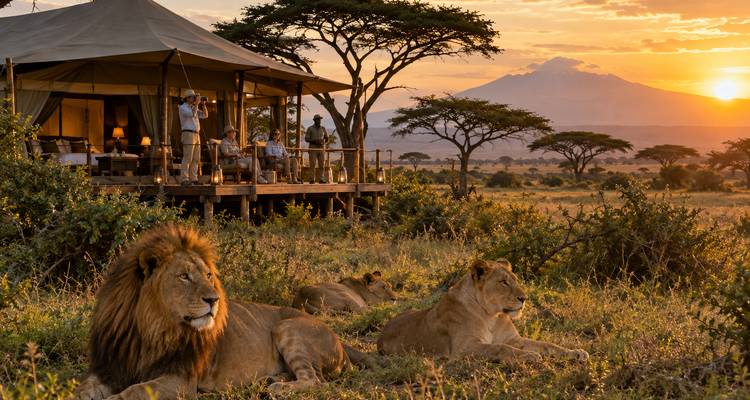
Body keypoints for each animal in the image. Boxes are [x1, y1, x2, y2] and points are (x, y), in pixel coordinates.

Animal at [76, 224, 373, 400]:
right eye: (184, 276)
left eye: (208, 275)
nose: (214, 299)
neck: (150, 328)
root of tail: (339, 339)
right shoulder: (110, 367)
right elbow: (83, 388)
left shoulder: (181, 379)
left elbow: (133, 391)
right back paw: (271, 379)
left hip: (287, 328)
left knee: (316, 380)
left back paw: (278, 387)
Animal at [377, 259, 589, 364]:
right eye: (504, 282)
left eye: (515, 279)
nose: (524, 298)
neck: (493, 315)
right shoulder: (464, 348)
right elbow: (500, 348)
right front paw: (528, 356)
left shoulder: (513, 339)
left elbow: (547, 345)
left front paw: (576, 352)